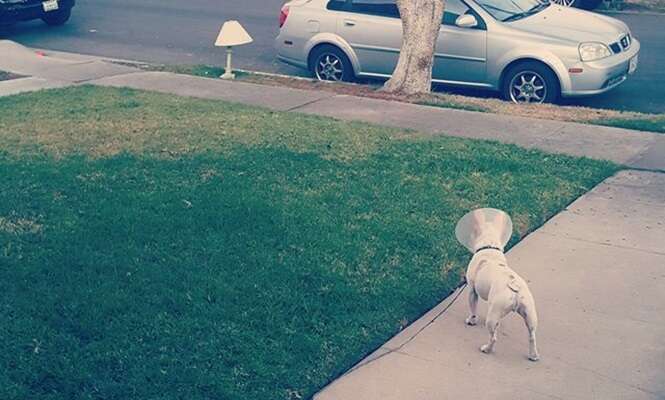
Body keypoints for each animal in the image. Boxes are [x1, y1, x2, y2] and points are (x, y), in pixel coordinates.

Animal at [454, 209, 544, 362]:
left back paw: (486, 349)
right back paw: (533, 355)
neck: (489, 246)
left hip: (493, 314)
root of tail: (515, 289)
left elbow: (473, 308)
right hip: (529, 313)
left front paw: (471, 320)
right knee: (532, 336)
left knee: (493, 337)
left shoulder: (472, 290)